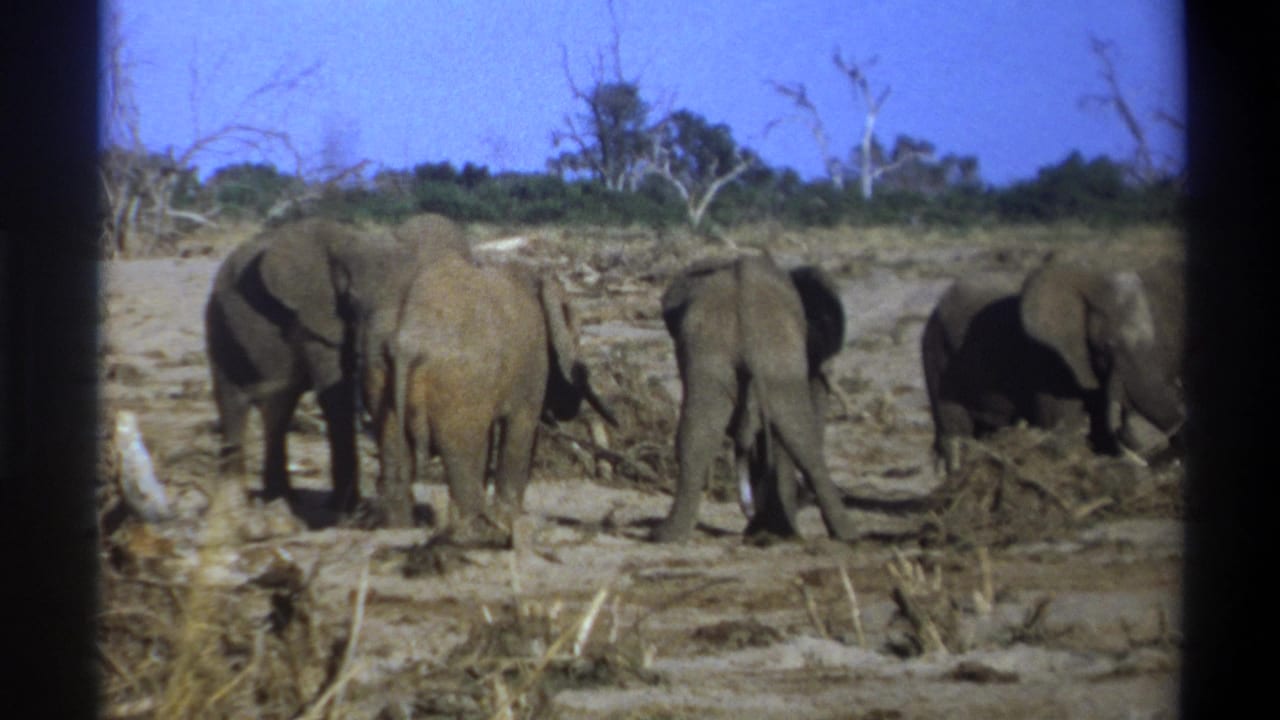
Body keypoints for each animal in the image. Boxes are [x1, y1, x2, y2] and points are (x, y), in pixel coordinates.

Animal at [203, 214, 468, 518]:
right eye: (352, 299)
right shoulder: (314, 316)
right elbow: (336, 396)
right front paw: (347, 510)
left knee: (278, 409)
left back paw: (279, 498)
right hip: (219, 320)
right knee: (233, 401)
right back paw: (238, 503)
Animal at [380, 250, 617, 538]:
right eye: (577, 334)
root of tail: (408, 344)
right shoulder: (531, 362)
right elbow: (521, 428)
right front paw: (509, 518)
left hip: (379, 373)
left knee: (393, 449)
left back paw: (399, 528)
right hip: (457, 382)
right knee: (461, 454)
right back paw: (473, 529)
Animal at [651, 254, 856, 543]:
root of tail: (743, 292)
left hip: (710, 351)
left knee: (698, 432)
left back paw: (669, 535)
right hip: (770, 355)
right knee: (800, 436)